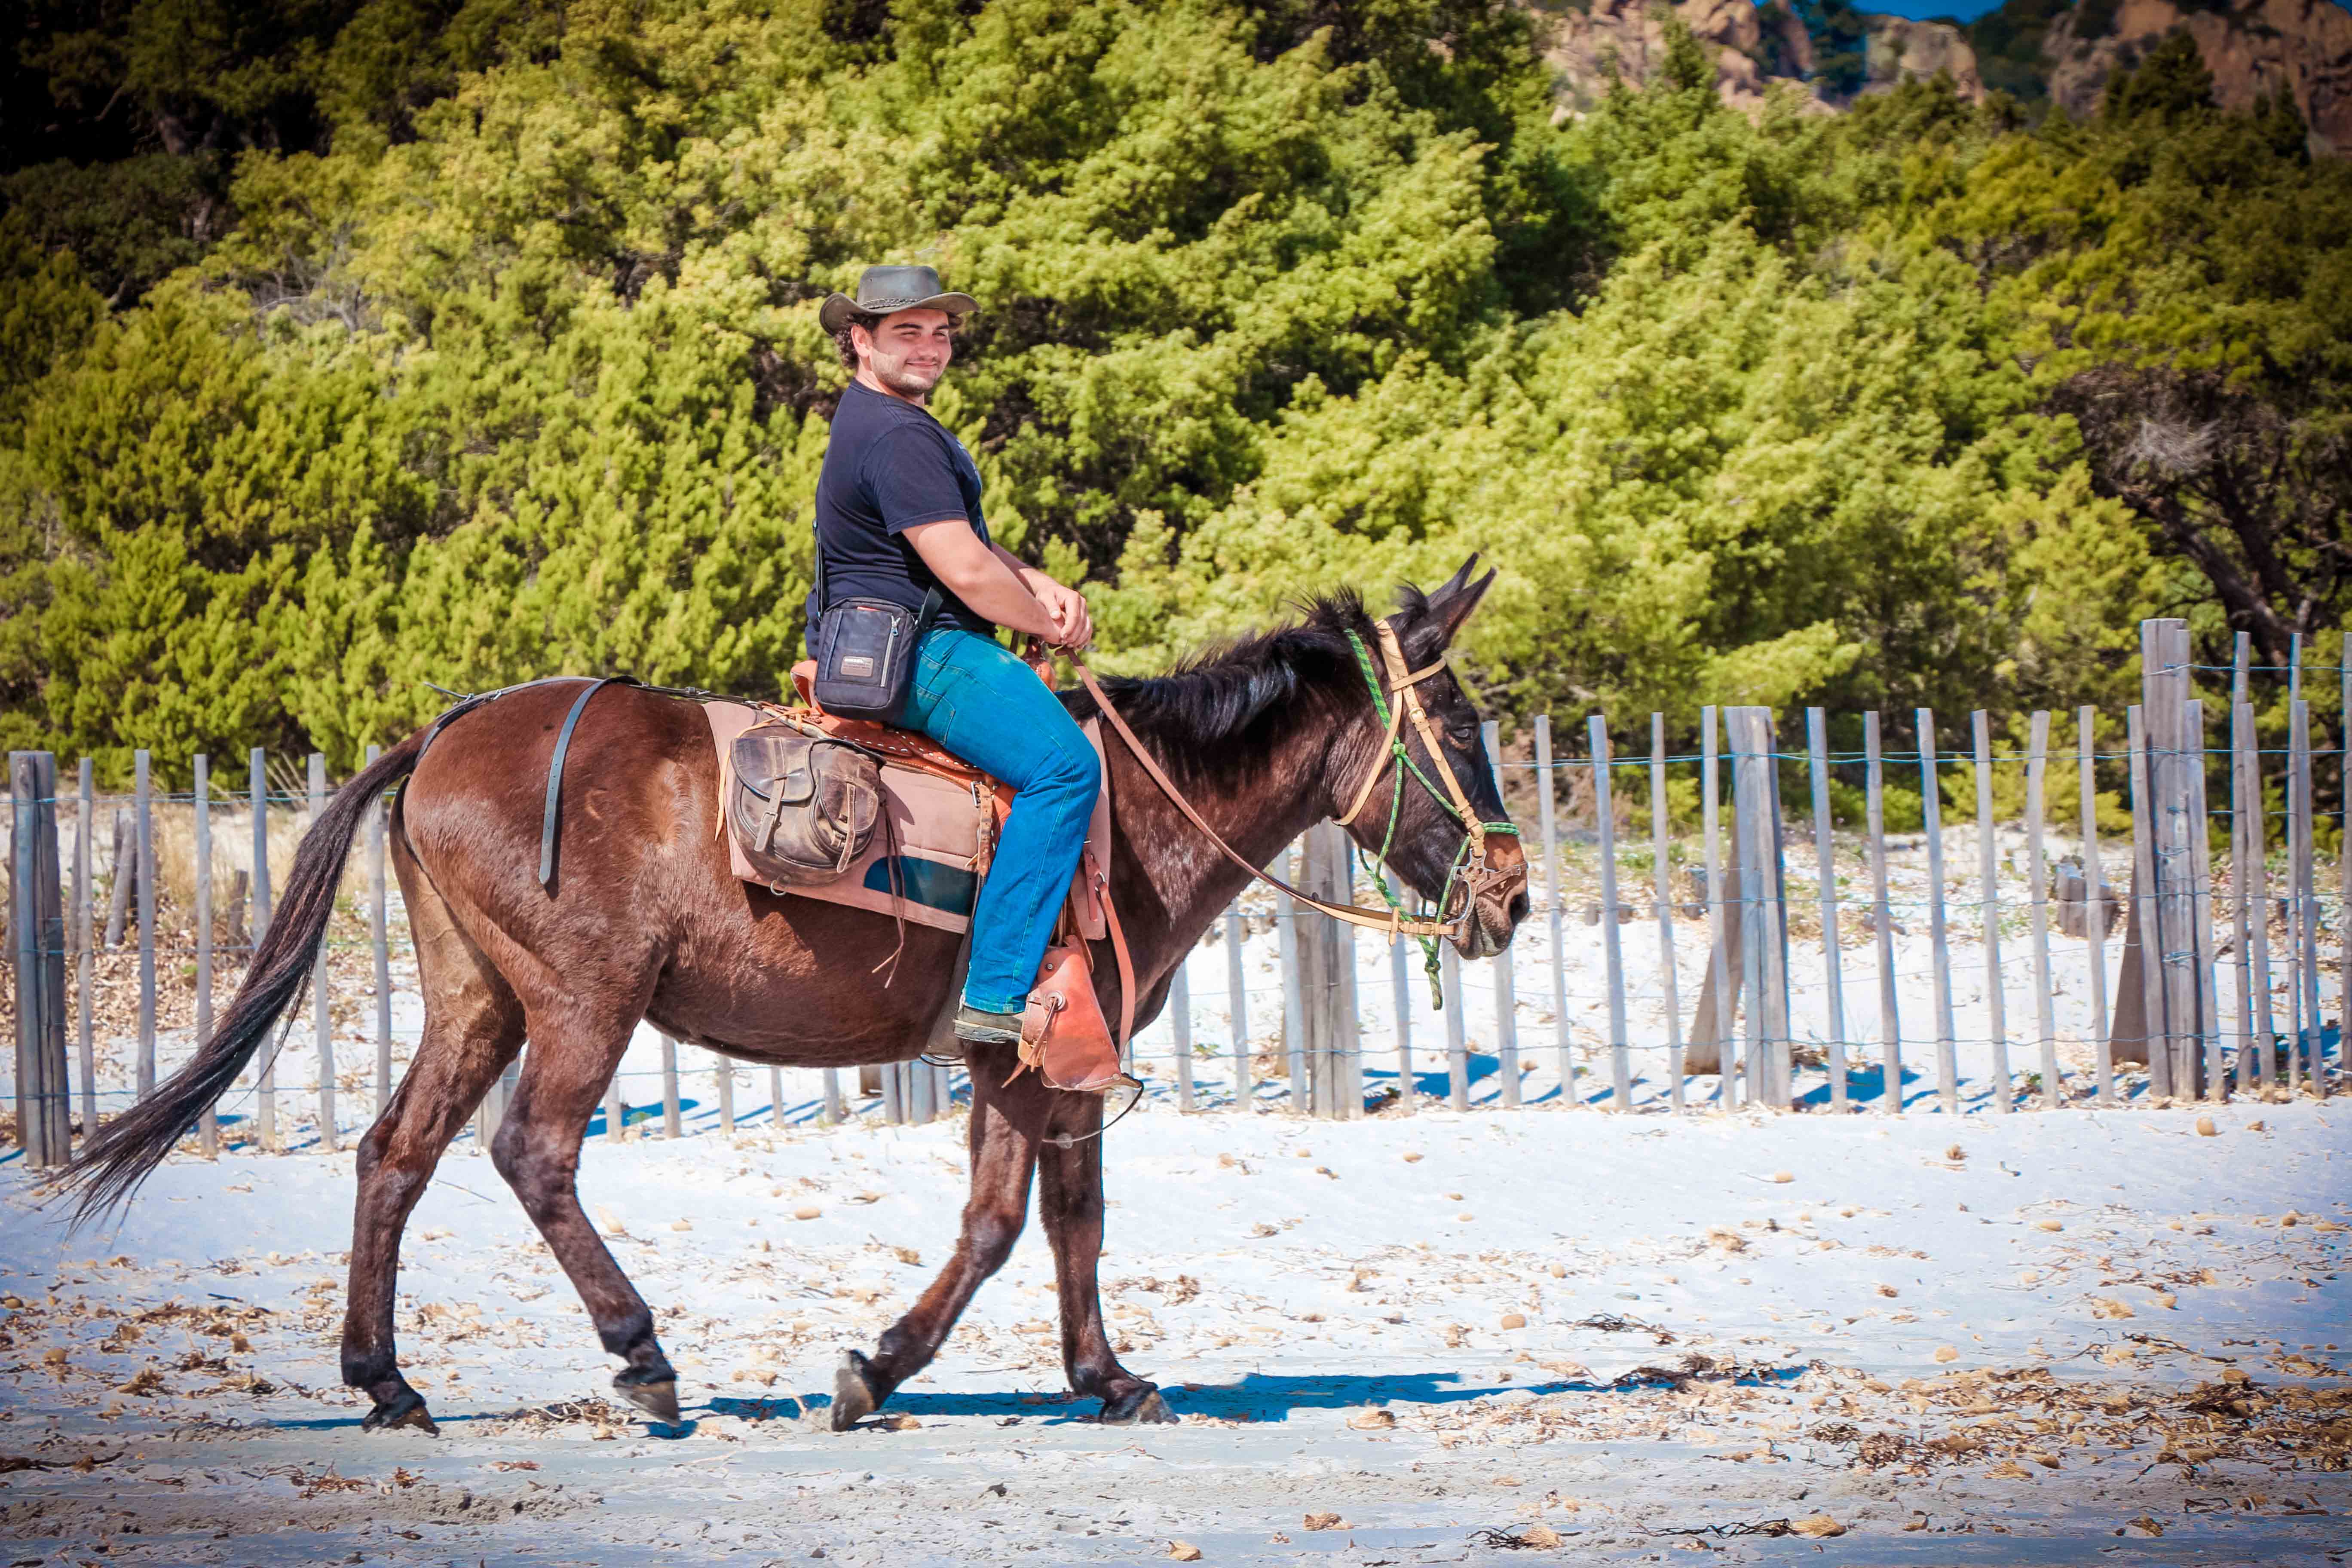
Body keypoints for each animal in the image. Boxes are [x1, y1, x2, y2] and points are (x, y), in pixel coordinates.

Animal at [61, 559, 1530, 1433]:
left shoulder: (1047, 1067)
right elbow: (1010, 1225)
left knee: (394, 1154)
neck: (1132, 806)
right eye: (1460, 730)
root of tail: (441, 733)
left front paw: (1100, 1379)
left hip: (477, 1000)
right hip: (584, 1005)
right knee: (531, 1153)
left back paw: (387, 1381)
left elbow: (1062, 1222)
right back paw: (641, 1355)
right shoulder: (1029, 1062)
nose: (1514, 893)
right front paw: (885, 1367)